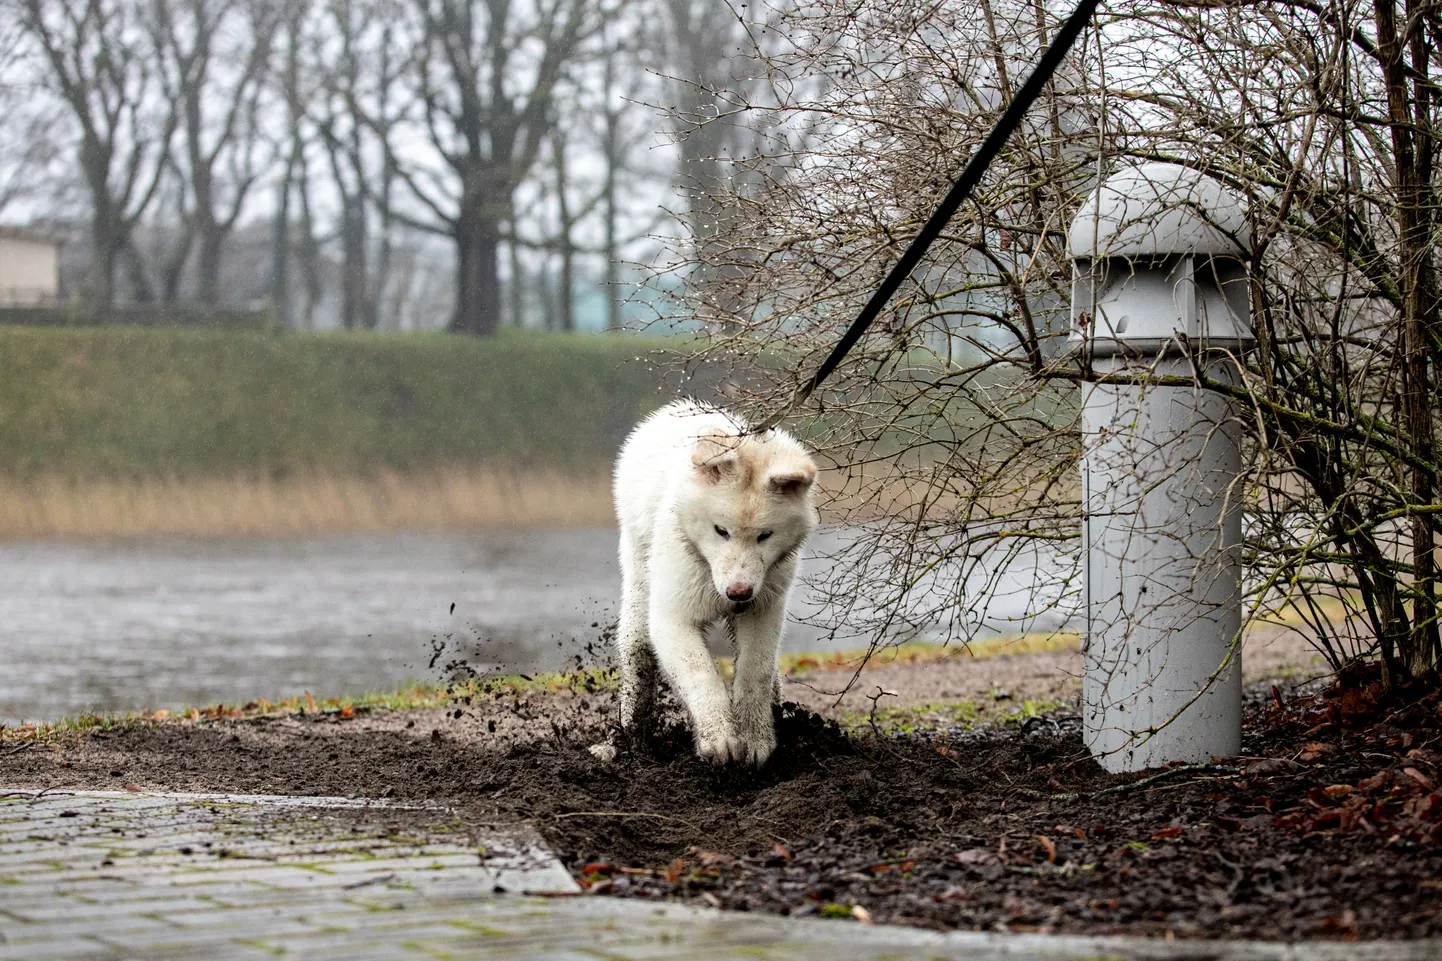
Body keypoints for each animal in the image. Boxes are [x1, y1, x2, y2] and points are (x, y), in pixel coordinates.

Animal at [591, 395, 819, 761]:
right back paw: (628, 739)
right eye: (720, 530)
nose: (739, 592)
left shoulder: (764, 610)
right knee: (637, 650)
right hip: (639, 575)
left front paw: (756, 738)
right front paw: (720, 740)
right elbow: (700, 675)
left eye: (765, 535)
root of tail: (673, 409)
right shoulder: (674, 615)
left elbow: (755, 672)